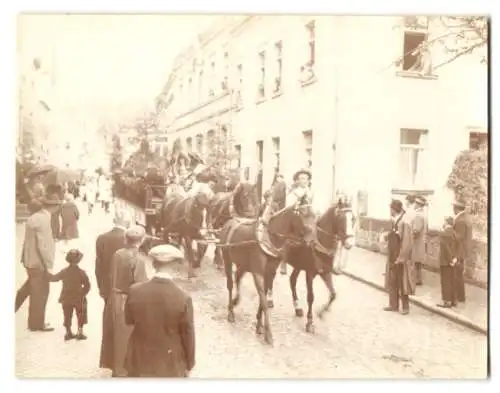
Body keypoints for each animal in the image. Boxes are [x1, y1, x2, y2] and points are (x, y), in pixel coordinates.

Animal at [216, 198, 316, 344]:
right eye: (303, 214)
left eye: (315, 215)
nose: (313, 241)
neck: (269, 238)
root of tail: (229, 222)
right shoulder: (258, 273)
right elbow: (263, 300)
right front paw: (268, 333)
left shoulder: (269, 273)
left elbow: (262, 299)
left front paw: (259, 325)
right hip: (227, 258)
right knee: (229, 283)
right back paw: (230, 311)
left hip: (244, 264)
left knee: (237, 276)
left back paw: (235, 301)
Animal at [266, 201, 356, 332]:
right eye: (341, 218)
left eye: (353, 218)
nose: (350, 244)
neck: (319, 242)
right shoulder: (310, 273)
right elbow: (310, 297)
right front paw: (309, 321)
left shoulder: (325, 272)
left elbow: (333, 294)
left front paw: (321, 312)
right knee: (271, 276)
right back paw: (269, 299)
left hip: (298, 264)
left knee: (292, 280)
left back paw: (297, 307)